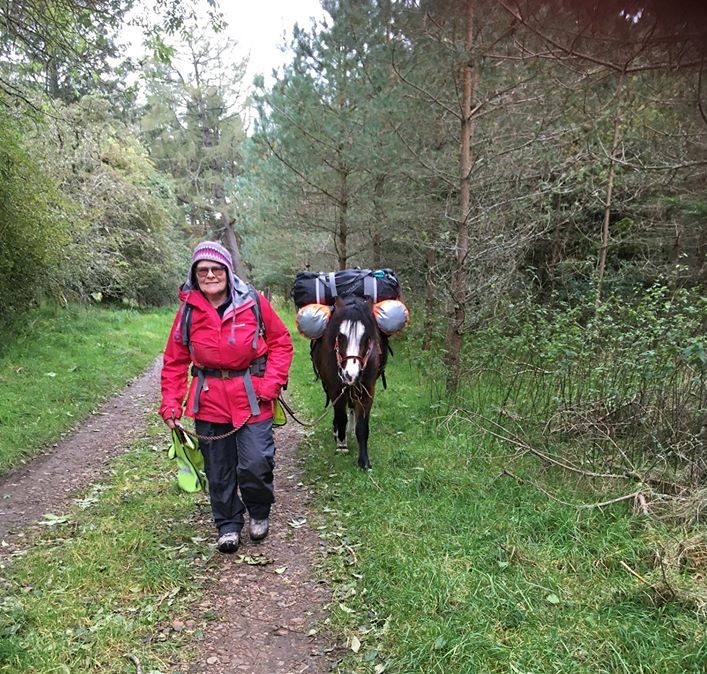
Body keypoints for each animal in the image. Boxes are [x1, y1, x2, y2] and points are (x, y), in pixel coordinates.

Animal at [310, 294, 388, 468]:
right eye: (340, 336)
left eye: (367, 338)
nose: (350, 374)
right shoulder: (335, 388)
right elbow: (340, 417)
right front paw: (341, 445)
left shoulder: (367, 389)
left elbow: (362, 426)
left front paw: (364, 461)